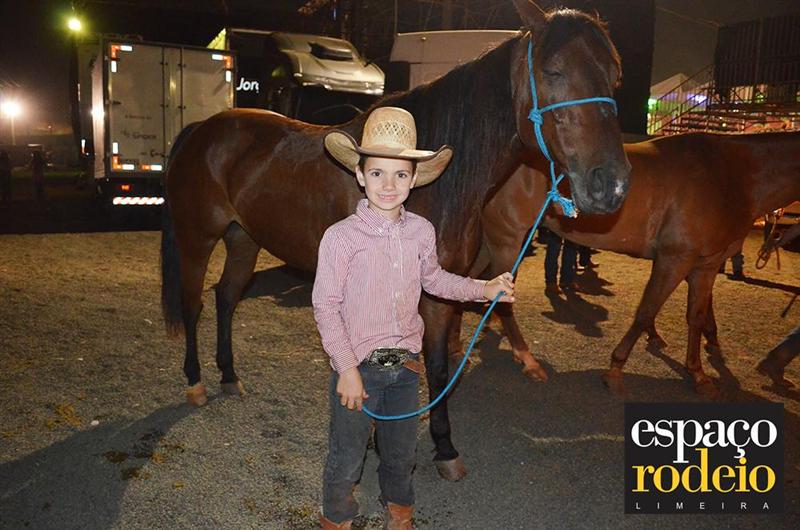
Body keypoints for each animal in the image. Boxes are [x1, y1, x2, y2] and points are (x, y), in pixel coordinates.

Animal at [161, 0, 630, 481]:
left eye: (614, 76)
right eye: (553, 71)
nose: (609, 184)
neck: (433, 186)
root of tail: (202, 129)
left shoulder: (439, 291)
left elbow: (434, 364)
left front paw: (428, 445)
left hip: (243, 239)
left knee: (226, 297)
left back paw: (229, 376)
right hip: (198, 238)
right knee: (193, 303)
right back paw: (196, 382)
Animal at [450, 131, 800, 397]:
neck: (731, 174)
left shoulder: (706, 265)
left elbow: (696, 317)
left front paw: (698, 374)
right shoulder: (675, 258)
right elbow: (646, 311)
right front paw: (616, 370)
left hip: (492, 240)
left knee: (467, 281)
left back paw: (456, 345)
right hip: (508, 239)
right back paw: (526, 359)